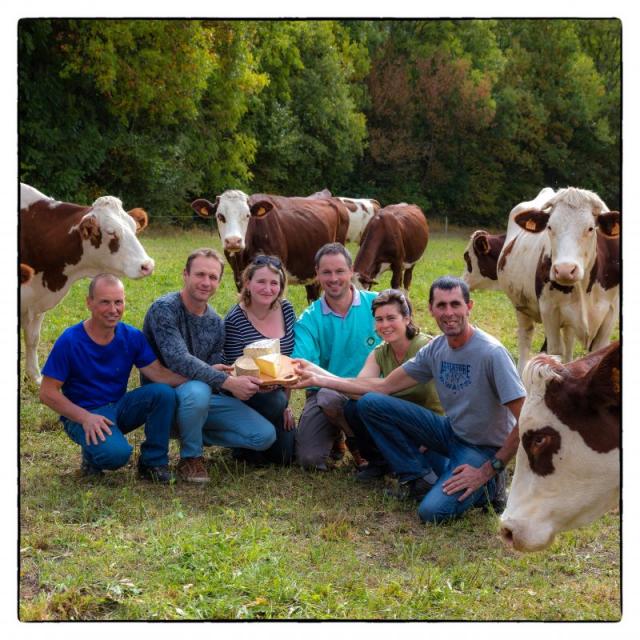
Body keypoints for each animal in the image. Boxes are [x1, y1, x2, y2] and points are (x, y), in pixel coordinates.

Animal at [20, 182, 155, 382]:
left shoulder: (37, 302)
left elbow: (32, 338)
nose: (147, 265)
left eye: (133, 227)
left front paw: (35, 377)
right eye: (111, 232)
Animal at [496, 188, 620, 372]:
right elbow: (554, 353)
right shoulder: (549, 310)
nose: (564, 270)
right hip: (521, 306)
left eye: (590, 228)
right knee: (526, 337)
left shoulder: (611, 312)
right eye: (549, 227)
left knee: (568, 341)